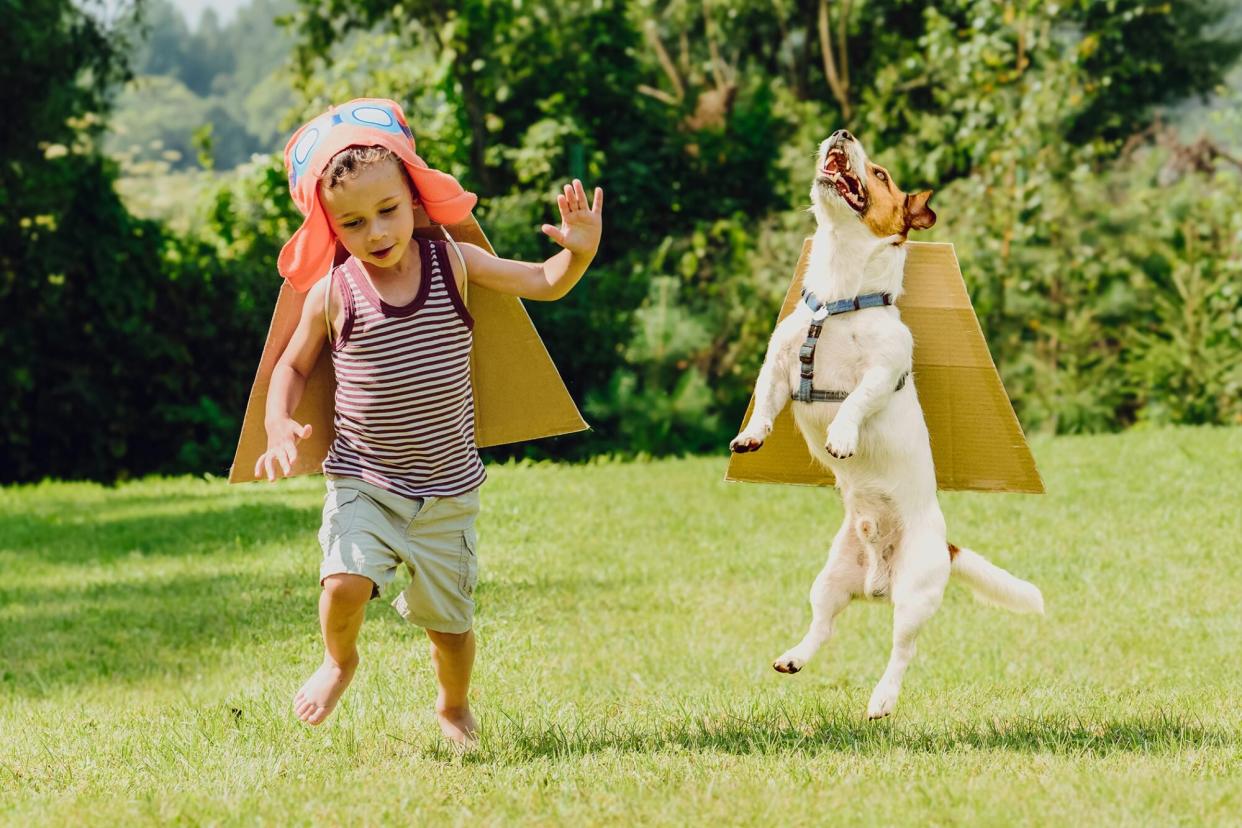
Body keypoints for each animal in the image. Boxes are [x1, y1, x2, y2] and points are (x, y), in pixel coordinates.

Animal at [730, 129, 1043, 720]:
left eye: (880, 175)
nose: (842, 132)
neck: (836, 301)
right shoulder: (779, 366)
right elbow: (765, 401)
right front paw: (752, 435)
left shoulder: (883, 370)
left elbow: (856, 399)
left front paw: (841, 435)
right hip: (830, 578)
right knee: (824, 626)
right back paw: (794, 657)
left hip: (916, 596)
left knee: (902, 652)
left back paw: (881, 699)